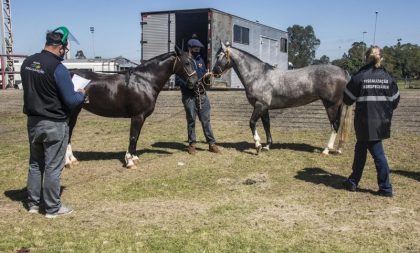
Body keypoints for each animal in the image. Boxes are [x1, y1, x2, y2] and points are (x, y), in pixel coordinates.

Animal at [66, 46, 199, 168]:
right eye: (187, 63)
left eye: (193, 62)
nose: (195, 82)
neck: (145, 81)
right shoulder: (137, 116)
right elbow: (133, 137)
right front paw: (129, 161)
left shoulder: (142, 117)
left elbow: (137, 136)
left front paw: (134, 158)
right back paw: (68, 161)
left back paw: (72, 160)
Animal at [212, 42, 352, 154]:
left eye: (219, 56)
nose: (214, 72)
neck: (258, 75)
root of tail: (343, 71)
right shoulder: (264, 108)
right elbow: (267, 125)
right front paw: (267, 146)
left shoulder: (260, 105)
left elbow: (252, 123)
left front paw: (258, 145)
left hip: (331, 105)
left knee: (335, 126)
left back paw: (326, 150)